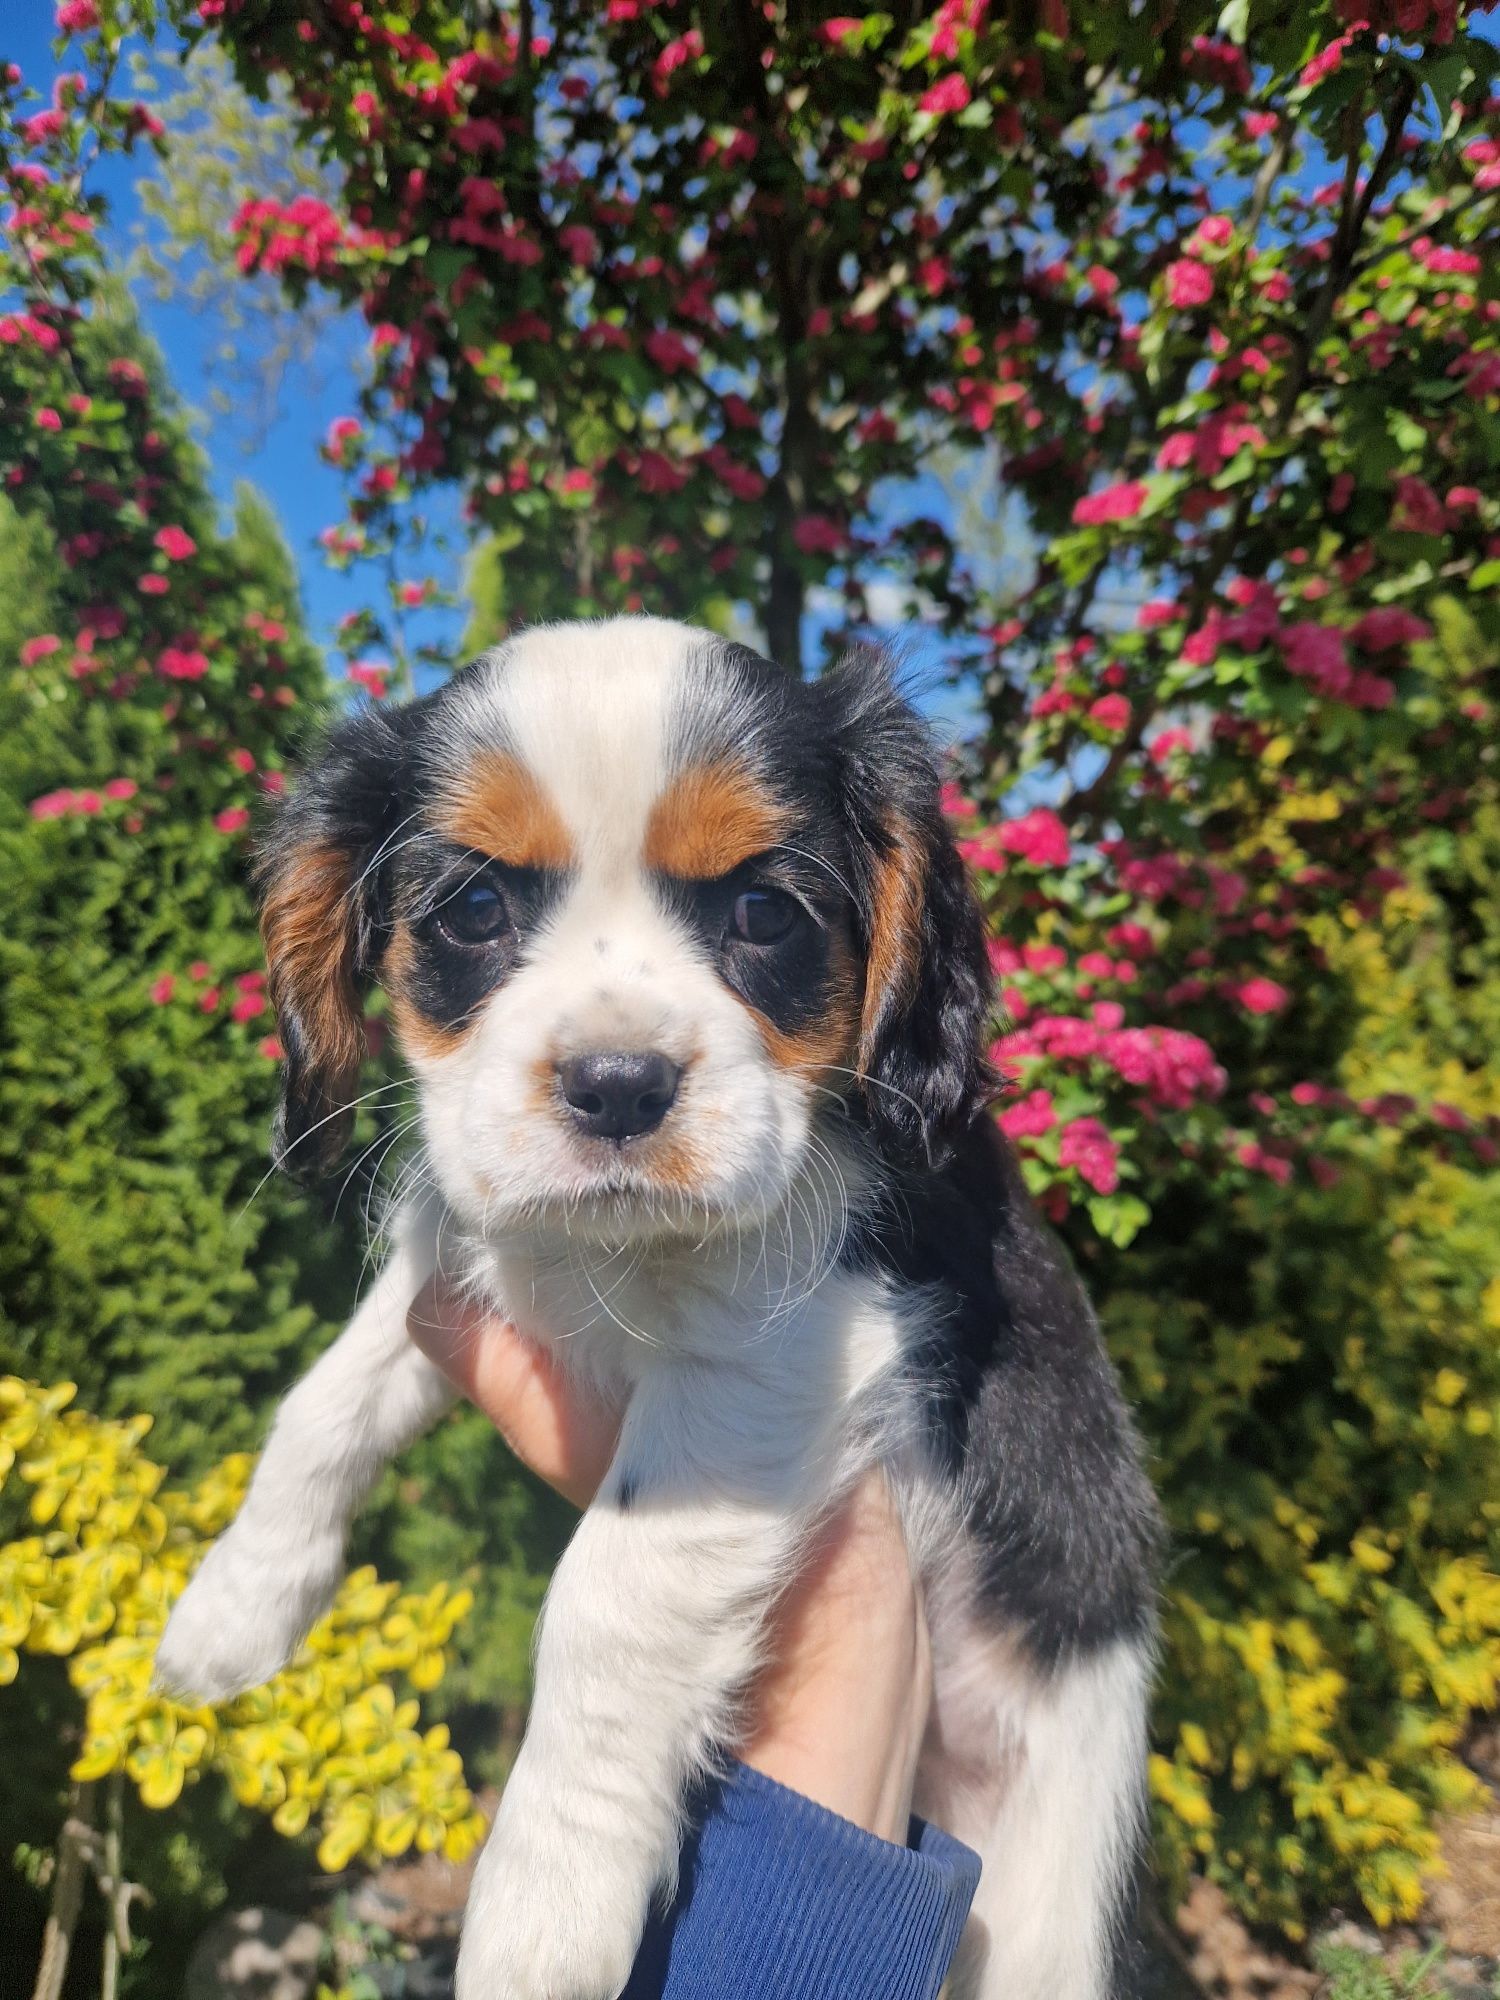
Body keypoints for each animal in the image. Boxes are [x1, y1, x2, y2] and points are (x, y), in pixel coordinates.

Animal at [156, 616, 1160, 2000]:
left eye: (764, 913)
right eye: (474, 910)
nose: (618, 1082)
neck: (612, 1251)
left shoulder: (781, 1349)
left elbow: (610, 1596)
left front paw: (542, 1904)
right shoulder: (457, 1255)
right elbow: (324, 1401)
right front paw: (232, 1605)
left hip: (1046, 1889)